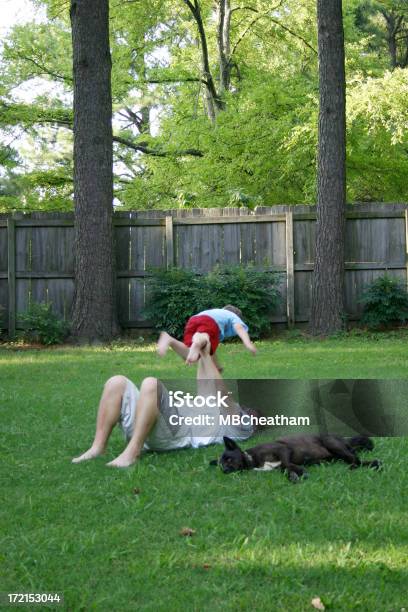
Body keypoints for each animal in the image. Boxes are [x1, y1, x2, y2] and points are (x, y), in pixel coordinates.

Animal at [210, 432, 382, 480]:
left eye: (229, 459)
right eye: (221, 465)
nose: (225, 470)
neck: (253, 460)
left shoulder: (283, 449)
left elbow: (288, 464)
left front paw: (301, 473)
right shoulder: (279, 467)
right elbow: (286, 470)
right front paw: (294, 476)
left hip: (332, 444)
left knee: (355, 460)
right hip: (336, 455)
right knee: (360, 459)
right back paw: (374, 464)